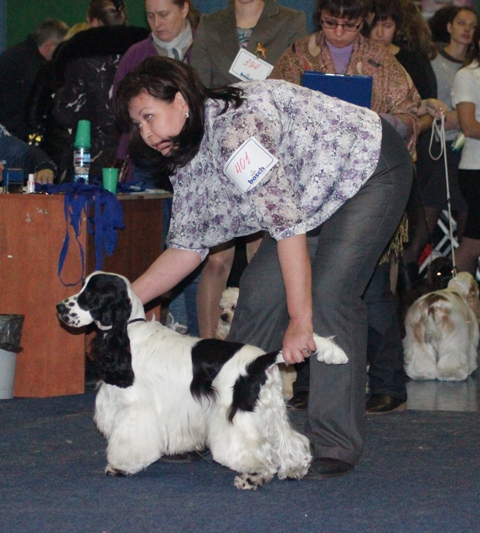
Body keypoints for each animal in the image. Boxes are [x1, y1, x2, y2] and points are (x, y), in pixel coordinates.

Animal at [56, 271, 349, 490]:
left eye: (90, 295)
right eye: (81, 287)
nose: (59, 307)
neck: (128, 331)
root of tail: (261, 359)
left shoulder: (135, 407)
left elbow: (130, 440)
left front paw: (119, 467)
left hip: (237, 414)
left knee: (259, 454)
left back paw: (252, 478)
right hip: (268, 408)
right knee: (289, 441)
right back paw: (295, 469)